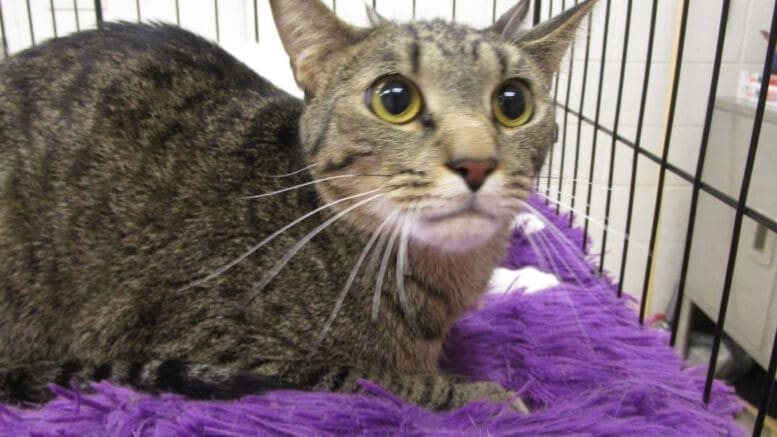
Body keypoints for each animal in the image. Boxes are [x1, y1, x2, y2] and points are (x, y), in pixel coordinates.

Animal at [0, 0, 596, 408]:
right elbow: (379, 380)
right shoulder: (223, 349)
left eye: (513, 102)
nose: (476, 163)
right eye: (395, 99)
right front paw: (486, 396)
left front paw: (536, 278)